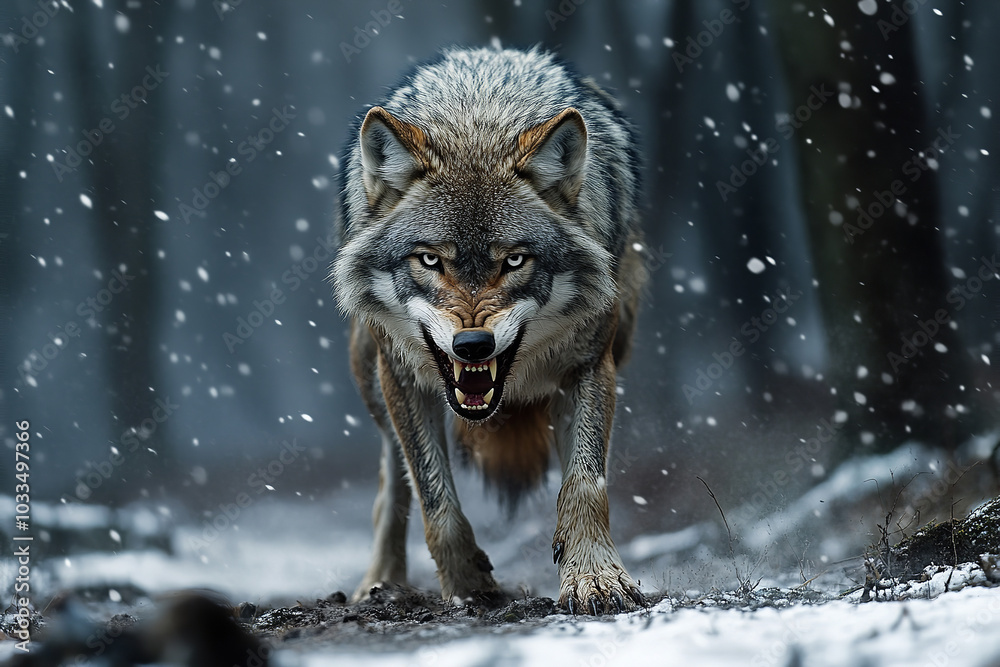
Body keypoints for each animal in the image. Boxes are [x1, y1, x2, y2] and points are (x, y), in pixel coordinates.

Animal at [331, 46, 646, 614]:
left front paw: (594, 578)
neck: (477, 123)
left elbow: (585, 485)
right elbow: (435, 501)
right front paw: (468, 586)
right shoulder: (401, 377)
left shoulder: (592, 365)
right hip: (370, 373)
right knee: (393, 482)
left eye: (515, 260)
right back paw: (381, 583)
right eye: (430, 260)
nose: (472, 345)